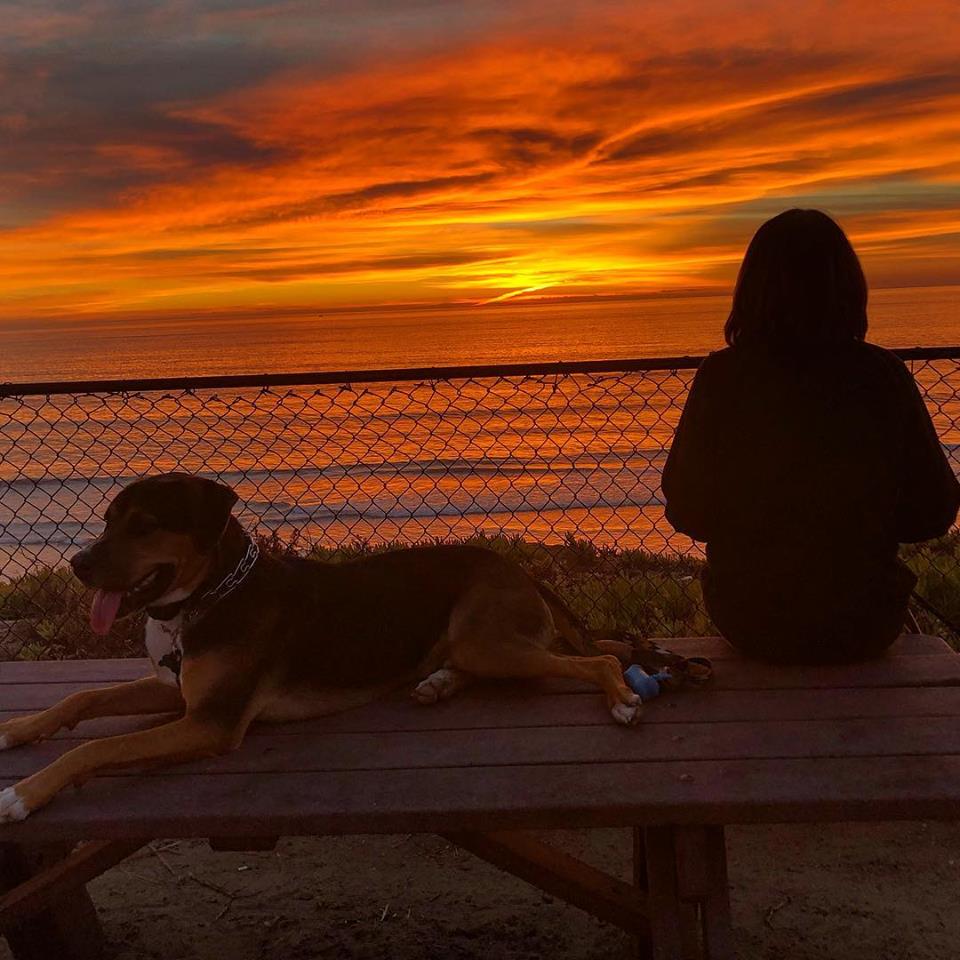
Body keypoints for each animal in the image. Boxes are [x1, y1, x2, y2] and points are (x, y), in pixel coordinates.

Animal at [0, 472, 641, 823]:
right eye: (108, 520)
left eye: (145, 525)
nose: (78, 564)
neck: (210, 595)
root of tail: (521, 568)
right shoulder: (178, 692)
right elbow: (82, 699)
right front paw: (18, 728)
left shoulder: (211, 722)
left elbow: (95, 749)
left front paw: (23, 794)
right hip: (476, 644)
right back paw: (435, 684)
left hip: (487, 639)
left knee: (600, 658)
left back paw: (621, 698)